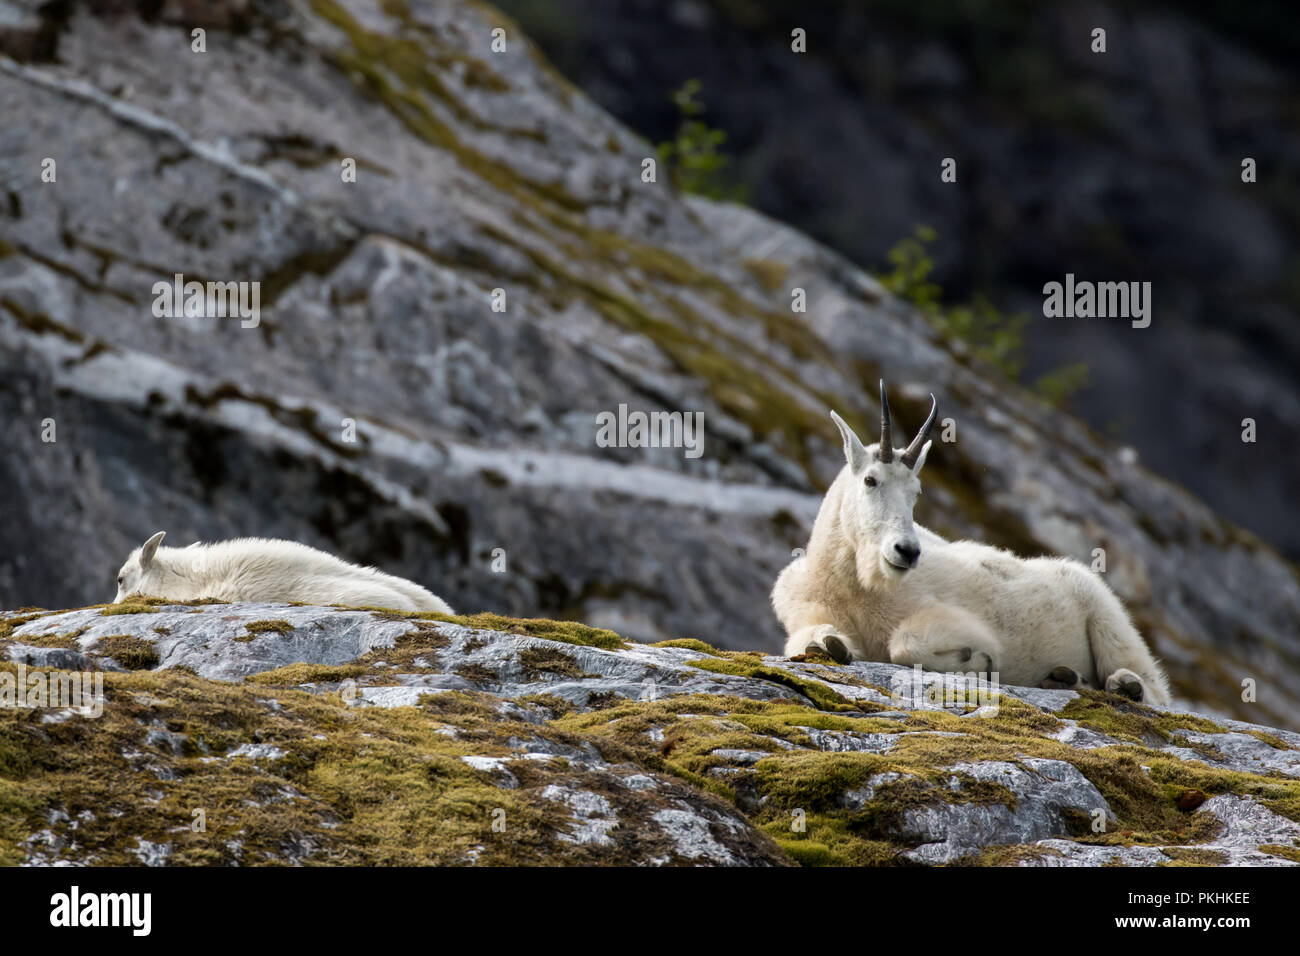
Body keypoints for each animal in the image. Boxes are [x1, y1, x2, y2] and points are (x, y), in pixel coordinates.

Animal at [764, 385, 1175, 707]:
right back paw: (1064, 678)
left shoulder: (950, 621)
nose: (906, 551)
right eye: (870, 480)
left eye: (917, 491)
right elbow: (812, 642)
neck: (851, 586)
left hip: (1107, 617)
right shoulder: (803, 613)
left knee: (1151, 686)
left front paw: (979, 660)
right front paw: (830, 644)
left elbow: (905, 643)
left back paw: (1125, 685)